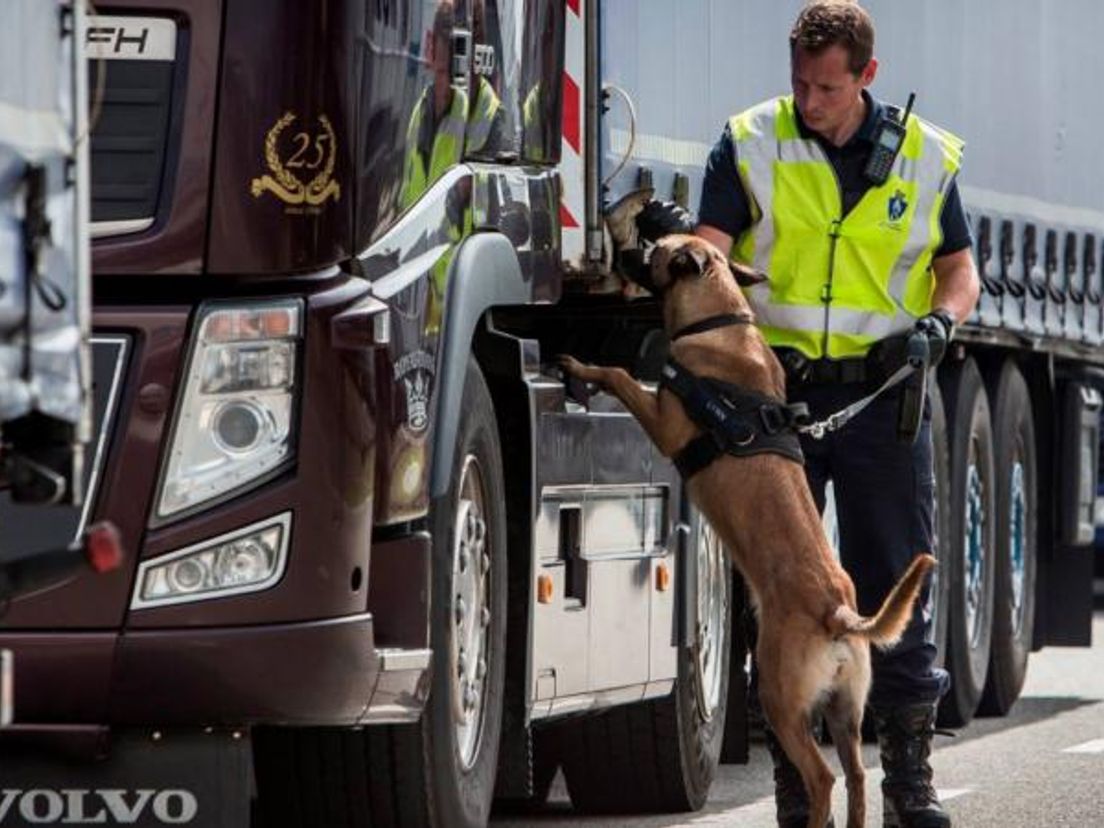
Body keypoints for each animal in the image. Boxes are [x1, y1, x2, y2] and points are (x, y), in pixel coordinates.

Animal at [560, 234, 931, 828]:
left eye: (653, 249)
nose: (626, 245)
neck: (719, 318)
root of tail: (836, 611)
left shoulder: (664, 421)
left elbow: (621, 377)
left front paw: (584, 364)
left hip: (782, 700)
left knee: (823, 776)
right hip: (846, 713)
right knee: (855, 776)